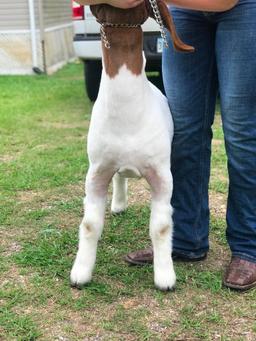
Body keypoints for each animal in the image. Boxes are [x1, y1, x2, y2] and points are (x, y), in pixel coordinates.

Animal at [70, 0, 194, 290]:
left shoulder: (161, 175)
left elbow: (161, 227)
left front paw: (165, 277)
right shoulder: (97, 171)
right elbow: (90, 224)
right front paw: (80, 273)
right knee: (119, 177)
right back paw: (118, 205)